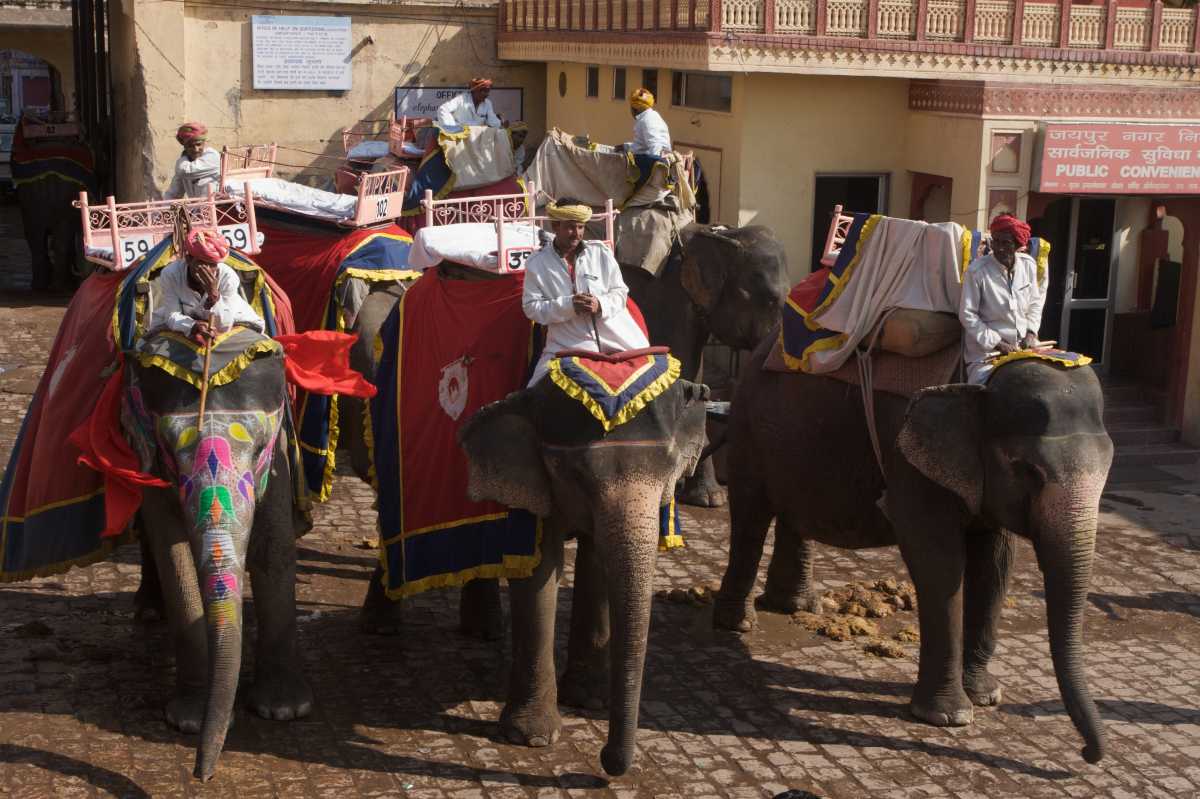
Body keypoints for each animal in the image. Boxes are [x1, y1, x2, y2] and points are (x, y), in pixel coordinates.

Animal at [456, 355, 700, 772]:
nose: (606, 761)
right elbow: (539, 569)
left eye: (670, 468)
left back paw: (483, 630)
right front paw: (532, 738)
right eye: (576, 474)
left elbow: (598, 558)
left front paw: (589, 701)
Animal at [710, 331, 1113, 767]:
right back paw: (738, 623)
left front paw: (986, 695)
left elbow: (996, 564)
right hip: (750, 427)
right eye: (1028, 470)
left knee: (793, 513)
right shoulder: (907, 456)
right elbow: (938, 561)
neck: (981, 384)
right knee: (750, 514)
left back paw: (797, 606)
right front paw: (950, 717)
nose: (1088, 754)